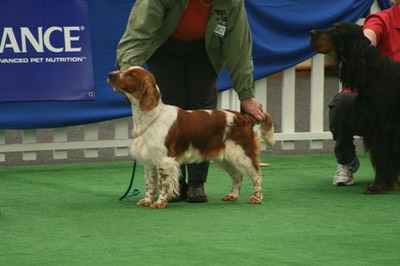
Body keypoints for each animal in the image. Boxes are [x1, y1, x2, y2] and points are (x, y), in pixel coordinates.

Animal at [107, 66, 276, 208]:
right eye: (125, 70)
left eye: (132, 74)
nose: (110, 75)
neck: (150, 116)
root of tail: (245, 117)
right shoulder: (149, 159)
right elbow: (149, 182)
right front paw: (147, 200)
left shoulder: (165, 160)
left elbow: (163, 183)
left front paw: (160, 203)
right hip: (226, 157)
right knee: (237, 176)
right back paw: (232, 195)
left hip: (242, 155)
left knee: (257, 175)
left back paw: (257, 198)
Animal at [310, 22, 400, 193]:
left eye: (338, 30)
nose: (311, 32)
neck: (374, 72)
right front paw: (387, 184)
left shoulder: (381, 128)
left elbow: (381, 157)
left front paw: (376, 186)